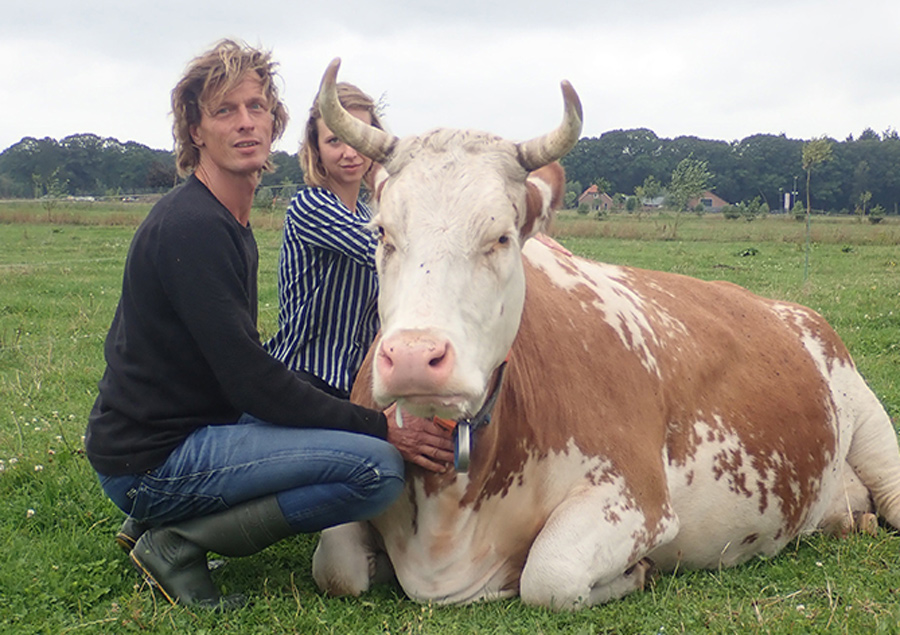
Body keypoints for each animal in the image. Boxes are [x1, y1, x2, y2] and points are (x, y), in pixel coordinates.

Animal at [308, 59, 900, 612]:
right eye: (382, 232)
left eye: (500, 237)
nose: (413, 357)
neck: (448, 515)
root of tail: (789, 307)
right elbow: (335, 566)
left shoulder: (637, 498)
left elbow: (548, 574)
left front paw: (636, 573)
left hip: (870, 419)